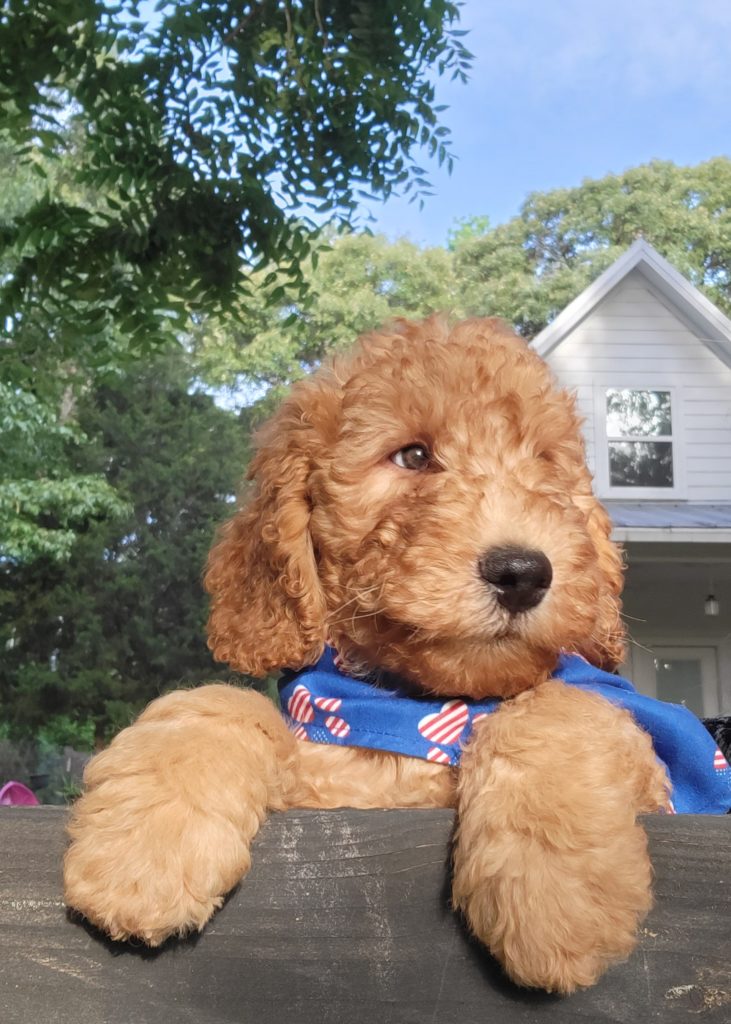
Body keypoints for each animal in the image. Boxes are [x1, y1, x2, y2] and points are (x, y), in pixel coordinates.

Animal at [63, 317, 724, 991]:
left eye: (543, 463)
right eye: (412, 456)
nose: (523, 572)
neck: (418, 706)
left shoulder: (668, 786)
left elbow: (562, 701)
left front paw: (554, 899)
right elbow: (222, 701)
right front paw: (143, 851)